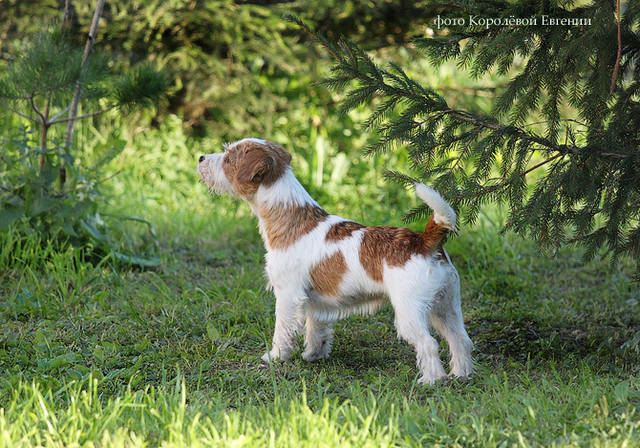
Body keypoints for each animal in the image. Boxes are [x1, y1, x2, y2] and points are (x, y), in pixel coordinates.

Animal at [198, 138, 472, 384]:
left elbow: (282, 331)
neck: (289, 215)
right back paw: (462, 374)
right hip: (446, 307)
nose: (200, 158)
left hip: (410, 313)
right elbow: (316, 330)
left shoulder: (287, 296)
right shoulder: (315, 303)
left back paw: (432, 379)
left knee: (429, 344)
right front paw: (313, 355)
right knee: (460, 339)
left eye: (229, 158)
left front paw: (275, 357)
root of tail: (425, 240)